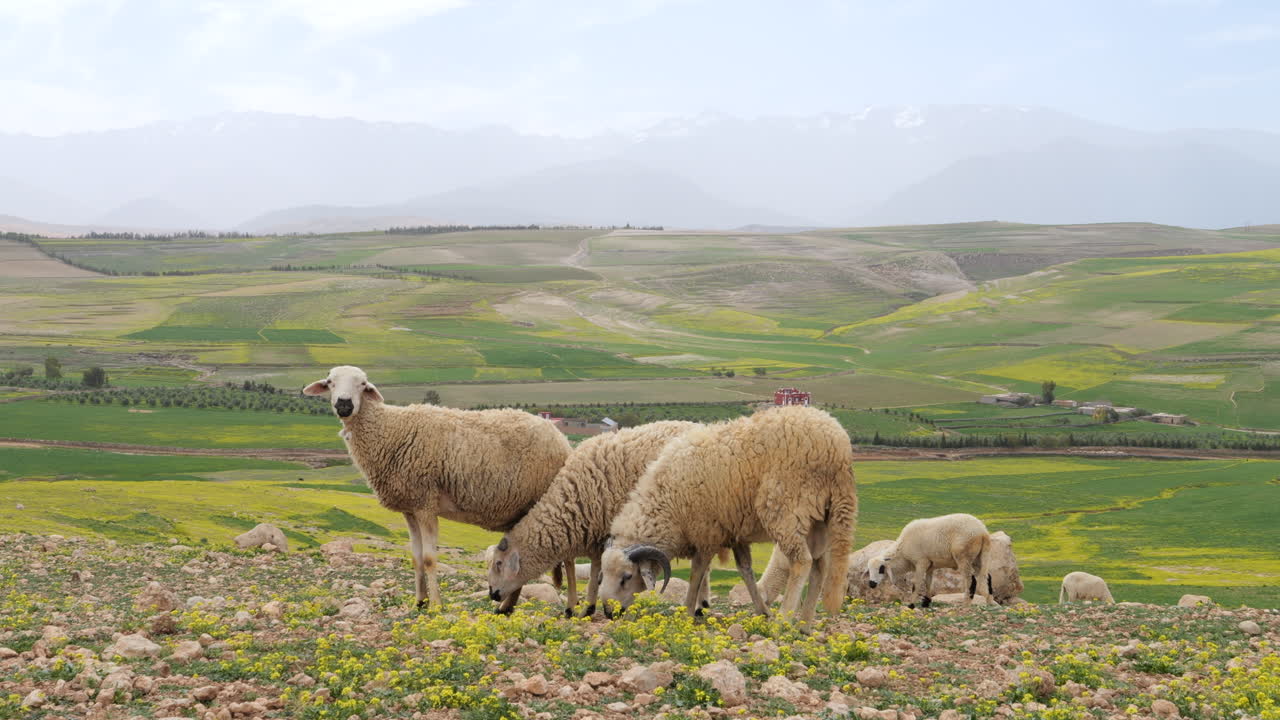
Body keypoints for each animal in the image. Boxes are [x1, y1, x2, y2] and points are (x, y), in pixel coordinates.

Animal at [303, 365, 571, 610]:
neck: (388, 429)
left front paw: (436, 605)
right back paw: (507, 607)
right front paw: (419, 602)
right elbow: (416, 558)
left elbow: (430, 559)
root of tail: (561, 437)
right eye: (330, 382)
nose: (344, 404)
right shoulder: (410, 508)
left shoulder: (426, 504)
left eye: (362, 384)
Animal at [487, 420, 699, 617]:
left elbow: (596, 571)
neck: (574, 502)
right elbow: (594, 568)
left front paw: (586, 608)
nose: (492, 594)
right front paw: (586, 607)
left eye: (498, 563)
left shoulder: (604, 533)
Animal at [597, 405, 858, 623]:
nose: (609, 613)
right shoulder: (735, 533)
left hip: (786, 510)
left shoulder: (705, 532)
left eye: (626, 577)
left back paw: (784, 621)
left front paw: (688, 610)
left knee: (802, 561)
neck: (668, 504)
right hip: (820, 518)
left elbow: (697, 573)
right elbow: (746, 571)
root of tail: (838, 447)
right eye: (601, 576)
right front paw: (762, 610)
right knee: (820, 566)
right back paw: (805, 624)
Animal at [865, 513, 993, 608]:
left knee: (970, 580)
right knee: (986, 577)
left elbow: (916, 584)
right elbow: (928, 583)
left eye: (881, 569)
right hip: (978, 557)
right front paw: (926, 602)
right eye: (869, 570)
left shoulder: (921, 562)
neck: (903, 552)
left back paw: (966, 604)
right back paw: (989, 601)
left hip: (964, 557)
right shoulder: (930, 565)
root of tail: (983, 532)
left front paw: (911, 605)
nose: (871, 584)